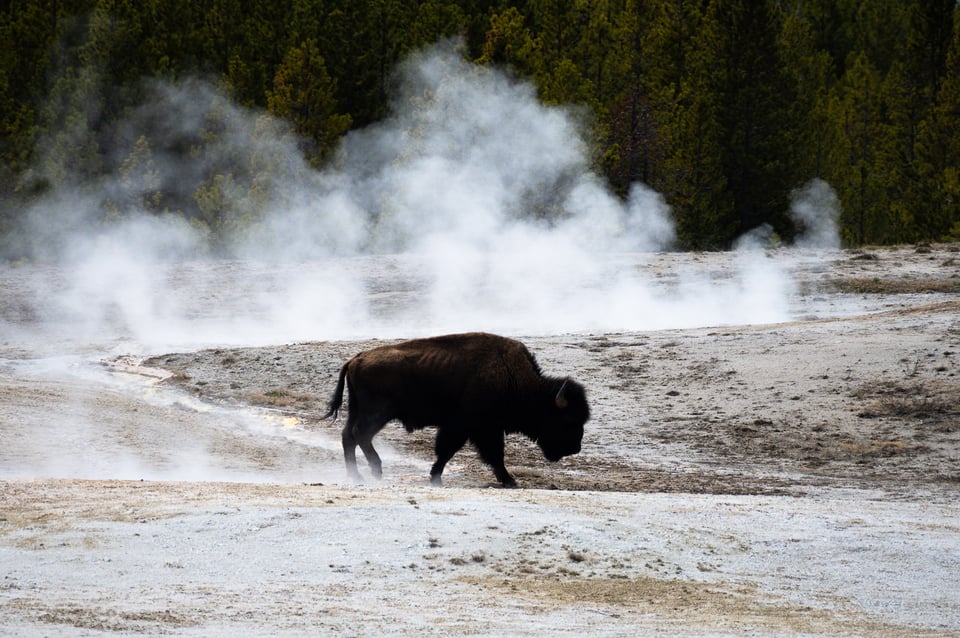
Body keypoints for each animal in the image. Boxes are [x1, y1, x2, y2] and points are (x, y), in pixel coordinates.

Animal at [326, 332, 588, 488]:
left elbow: (456, 452)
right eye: (567, 418)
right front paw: (510, 481)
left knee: (348, 436)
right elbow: (475, 453)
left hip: (358, 410)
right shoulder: (474, 428)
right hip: (376, 413)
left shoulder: (475, 429)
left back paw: (356, 475)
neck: (512, 377)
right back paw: (376, 471)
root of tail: (356, 358)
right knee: (360, 435)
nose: (575, 448)